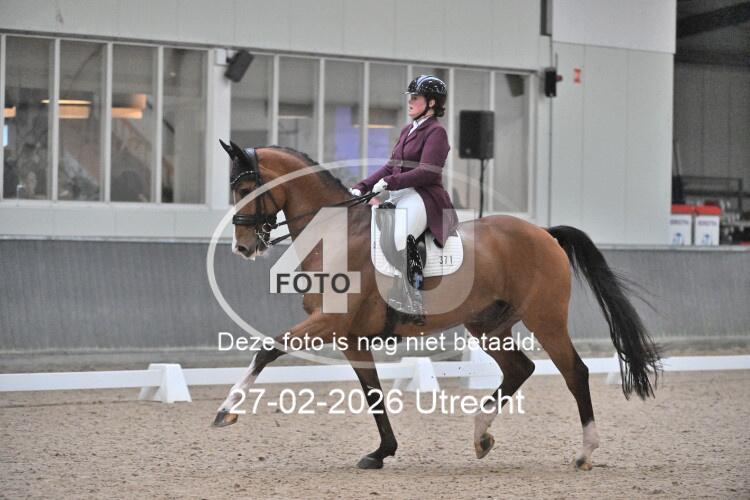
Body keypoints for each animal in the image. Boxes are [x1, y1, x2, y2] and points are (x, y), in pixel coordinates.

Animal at [212, 140, 661, 471]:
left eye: (245, 190)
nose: (242, 247)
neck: (336, 235)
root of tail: (544, 233)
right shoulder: (351, 338)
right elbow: (373, 394)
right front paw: (381, 453)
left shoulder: (329, 323)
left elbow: (266, 349)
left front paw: (225, 411)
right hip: (488, 325)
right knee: (520, 369)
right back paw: (481, 436)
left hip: (545, 319)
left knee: (575, 373)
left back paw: (584, 453)